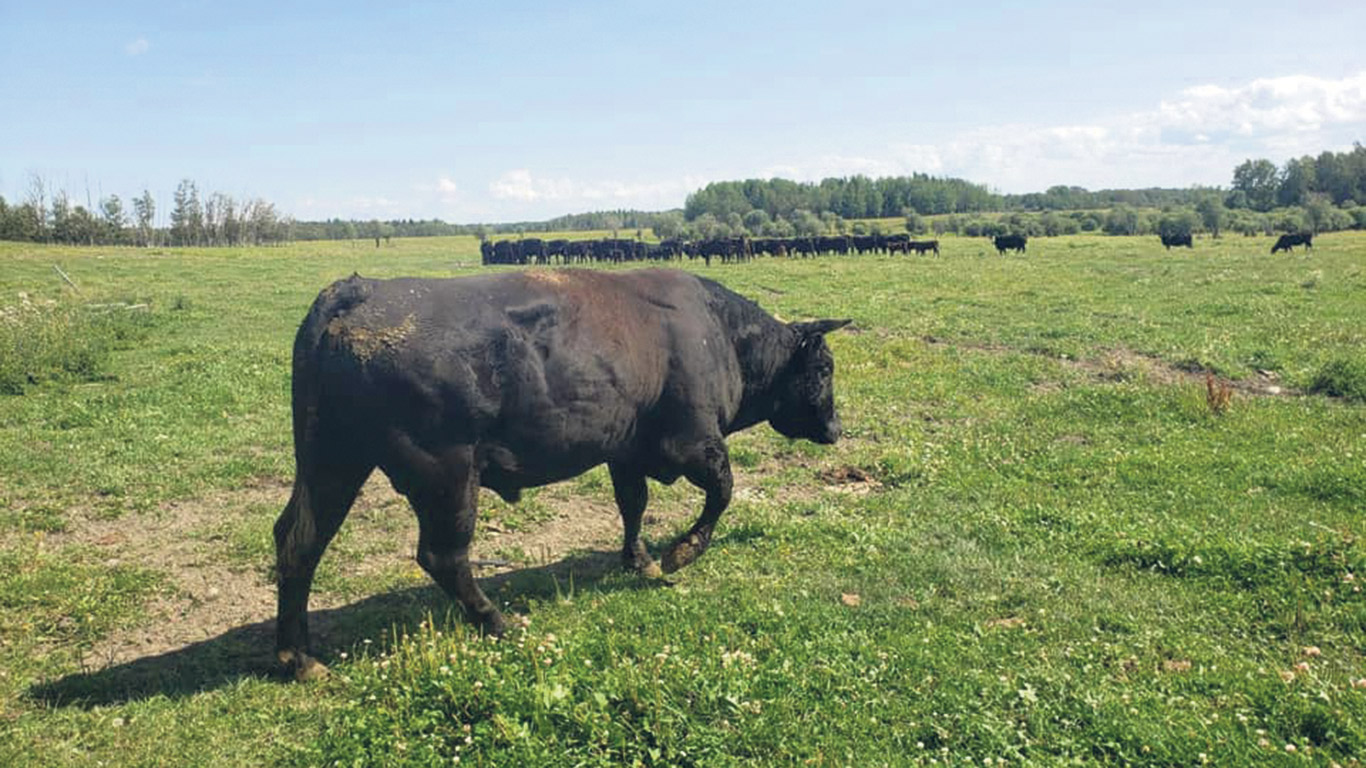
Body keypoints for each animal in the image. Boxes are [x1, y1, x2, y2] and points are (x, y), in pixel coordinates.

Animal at [271, 267, 846, 675]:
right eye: (824, 368)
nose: (838, 428)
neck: (720, 335)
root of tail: (360, 290)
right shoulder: (693, 442)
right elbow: (723, 491)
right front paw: (680, 554)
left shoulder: (625, 449)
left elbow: (633, 504)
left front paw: (638, 559)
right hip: (446, 475)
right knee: (442, 555)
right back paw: (497, 621)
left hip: (332, 462)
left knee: (297, 541)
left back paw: (299, 659)